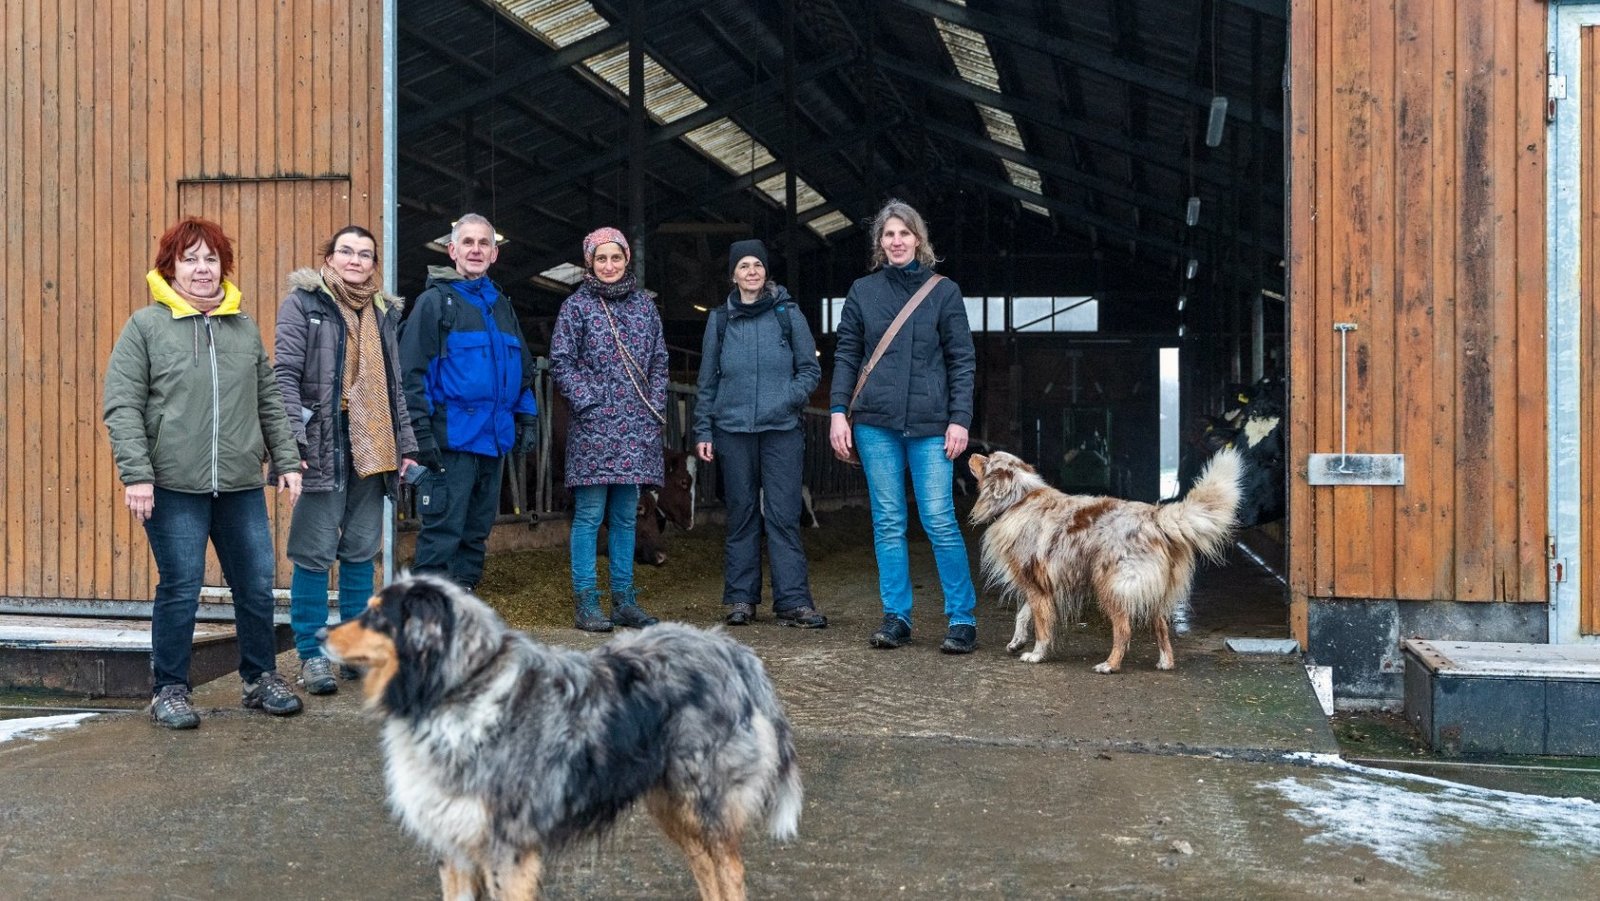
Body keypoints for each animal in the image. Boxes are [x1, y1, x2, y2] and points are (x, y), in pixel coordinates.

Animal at [960, 448, 1235, 672]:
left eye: (988, 460)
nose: (970, 453)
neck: (1018, 499)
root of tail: (1154, 518)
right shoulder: (1041, 585)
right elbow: (1023, 615)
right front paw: (1016, 642)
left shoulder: (1036, 583)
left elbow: (1041, 624)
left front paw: (1036, 655)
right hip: (1150, 591)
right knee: (1161, 626)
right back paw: (1165, 662)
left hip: (1111, 585)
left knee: (1124, 629)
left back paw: (1110, 665)